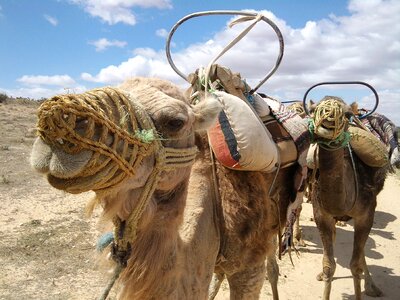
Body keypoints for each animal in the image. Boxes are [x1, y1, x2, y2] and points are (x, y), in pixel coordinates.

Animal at [308, 97, 390, 300]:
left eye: (347, 114)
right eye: (312, 110)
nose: (327, 122)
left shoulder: (366, 215)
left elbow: (355, 265)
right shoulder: (321, 214)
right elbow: (329, 265)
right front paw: (324, 274)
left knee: (360, 255)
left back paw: (372, 287)